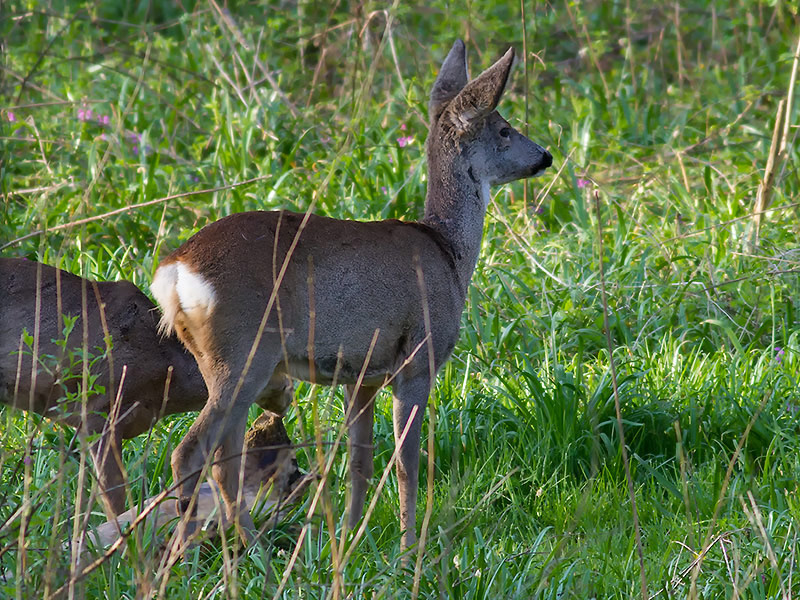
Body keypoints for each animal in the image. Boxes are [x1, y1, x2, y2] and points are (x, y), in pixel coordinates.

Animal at [148, 39, 552, 552]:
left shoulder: (360, 374)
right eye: (503, 128)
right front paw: (408, 548)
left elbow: (360, 463)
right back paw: (214, 549)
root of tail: (174, 271)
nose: (545, 155)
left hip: (223, 360)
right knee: (192, 453)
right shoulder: (418, 357)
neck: (448, 254)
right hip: (242, 353)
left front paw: (352, 538)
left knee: (224, 459)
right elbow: (406, 463)